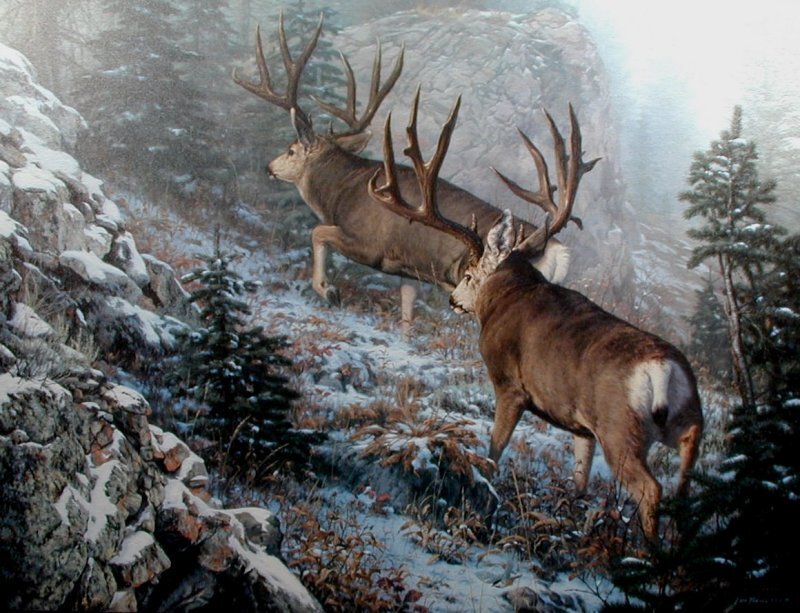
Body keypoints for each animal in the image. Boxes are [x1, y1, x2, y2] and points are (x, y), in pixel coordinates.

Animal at [233, 15, 571, 327]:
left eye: (291, 150)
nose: (269, 166)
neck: (339, 191)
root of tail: (555, 249)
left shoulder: (367, 244)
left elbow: (317, 232)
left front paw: (328, 290)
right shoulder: (408, 270)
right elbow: (407, 307)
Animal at [368, 96, 704, 539]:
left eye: (470, 273)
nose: (455, 300)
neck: (510, 293)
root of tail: (663, 370)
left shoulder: (510, 384)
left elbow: (496, 447)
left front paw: (488, 488)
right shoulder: (581, 425)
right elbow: (580, 475)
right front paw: (574, 513)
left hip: (621, 429)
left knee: (651, 489)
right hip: (690, 423)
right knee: (685, 487)